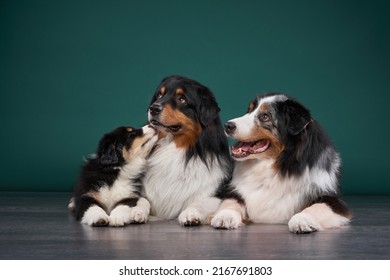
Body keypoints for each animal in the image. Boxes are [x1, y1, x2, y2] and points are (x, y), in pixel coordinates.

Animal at [145, 75, 233, 226]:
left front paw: (189, 214)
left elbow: (200, 201)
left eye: (182, 99)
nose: (153, 108)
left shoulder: (218, 192)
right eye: (160, 95)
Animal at [212, 93, 352, 233]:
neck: (275, 166)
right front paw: (224, 216)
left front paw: (302, 219)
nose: (227, 125)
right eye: (249, 110)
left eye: (265, 116)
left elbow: (317, 206)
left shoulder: (331, 198)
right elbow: (230, 202)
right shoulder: (236, 192)